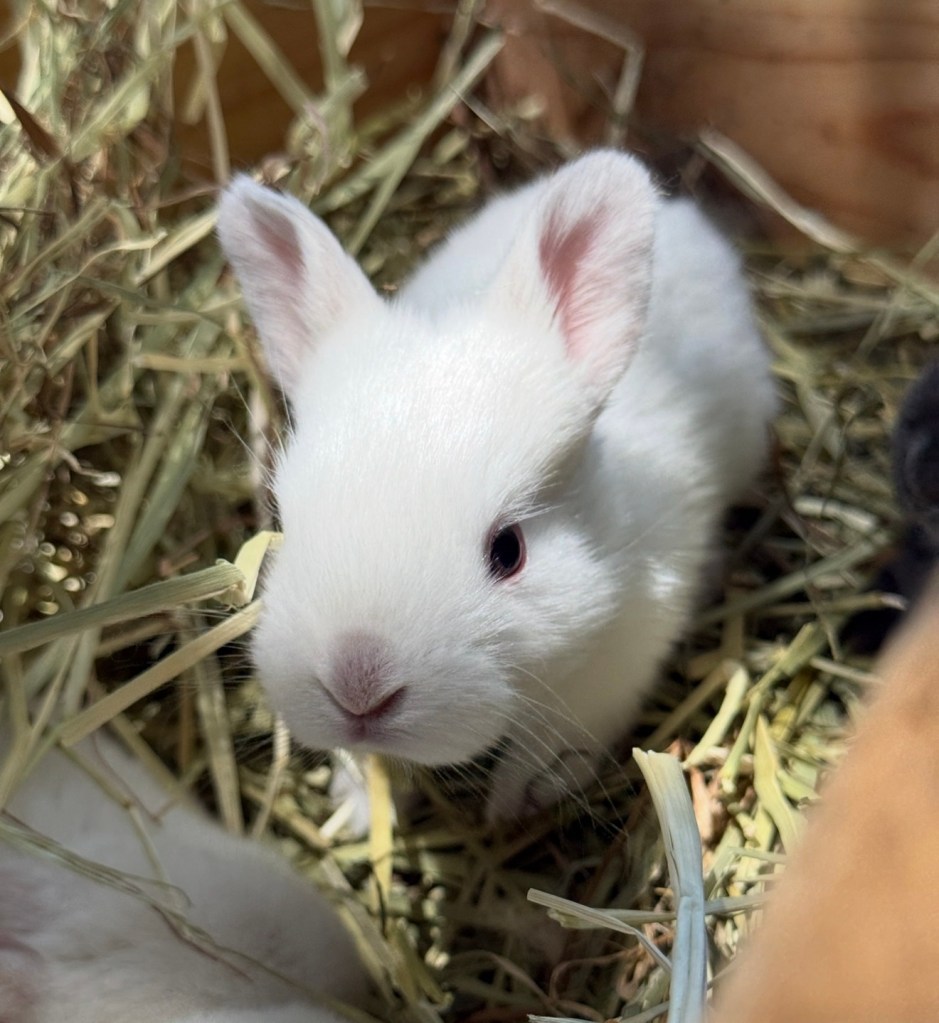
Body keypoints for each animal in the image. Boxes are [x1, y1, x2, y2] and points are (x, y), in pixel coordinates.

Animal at [217, 149, 777, 822]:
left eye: (509, 551)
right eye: (285, 527)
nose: (358, 688)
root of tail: (689, 216)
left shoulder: (618, 658)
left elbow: (553, 739)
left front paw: (518, 799)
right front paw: (358, 809)